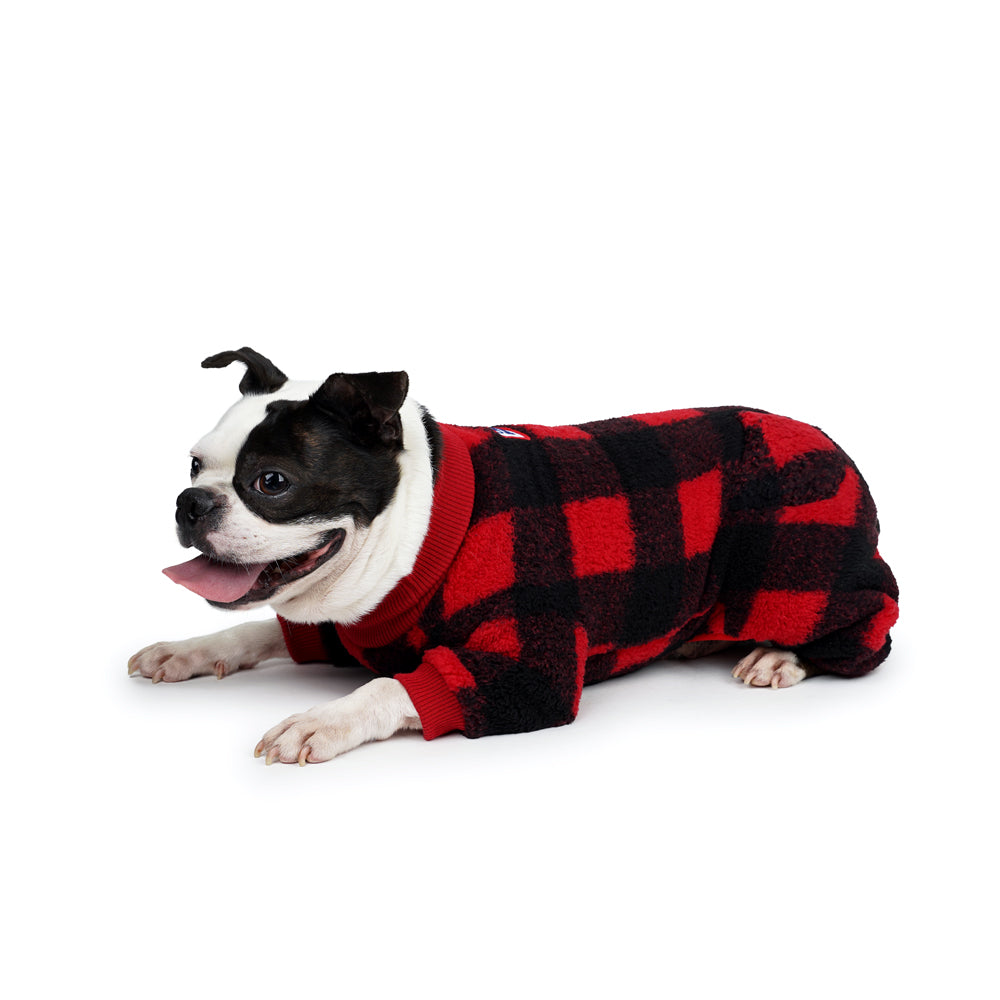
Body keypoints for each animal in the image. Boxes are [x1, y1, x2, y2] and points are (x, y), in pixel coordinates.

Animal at [129, 347, 899, 764]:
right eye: (193, 464)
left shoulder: (529, 667)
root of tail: (830, 439)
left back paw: (776, 655)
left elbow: (392, 686)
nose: (190, 503)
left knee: (864, 630)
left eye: (272, 482)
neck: (416, 530)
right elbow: (259, 628)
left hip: (804, 565)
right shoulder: (336, 629)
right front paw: (186, 651)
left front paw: (322, 719)